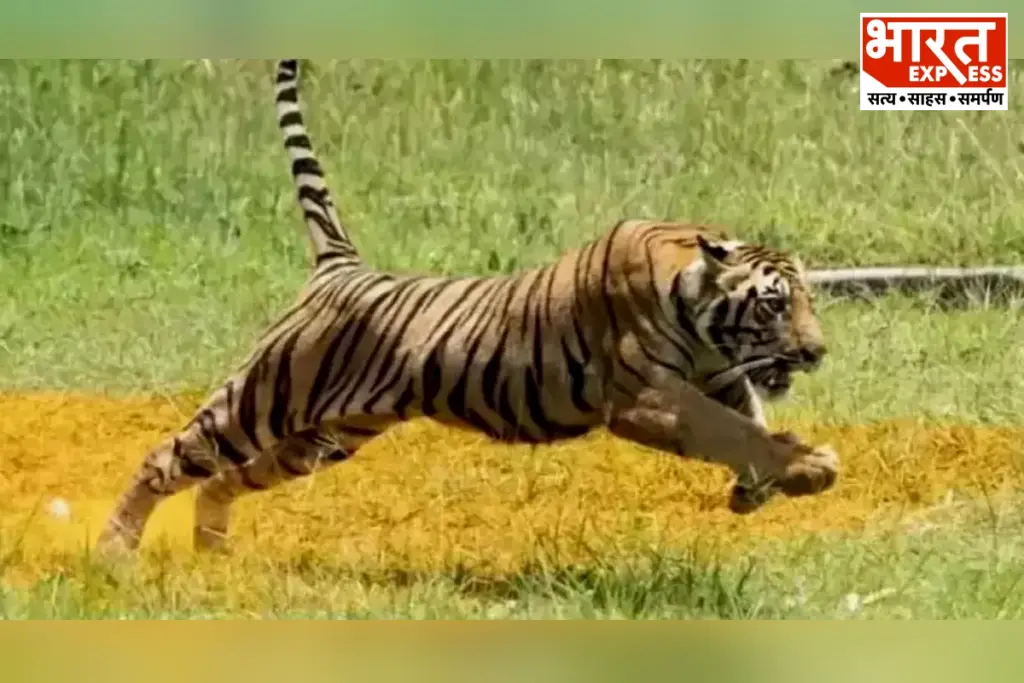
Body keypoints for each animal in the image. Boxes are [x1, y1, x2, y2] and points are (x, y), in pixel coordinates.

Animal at [95, 59, 839, 558]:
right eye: (775, 305)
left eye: (808, 302)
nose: (816, 351)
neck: (699, 310)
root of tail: (341, 263)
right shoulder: (648, 399)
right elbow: (731, 431)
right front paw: (807, 467)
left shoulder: (720, 377)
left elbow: (751, 420)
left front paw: (768, 484)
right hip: (262, 399)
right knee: (167, 458)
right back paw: (113, 552)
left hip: (325, 437)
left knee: (227, 479)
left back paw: (213, 552)